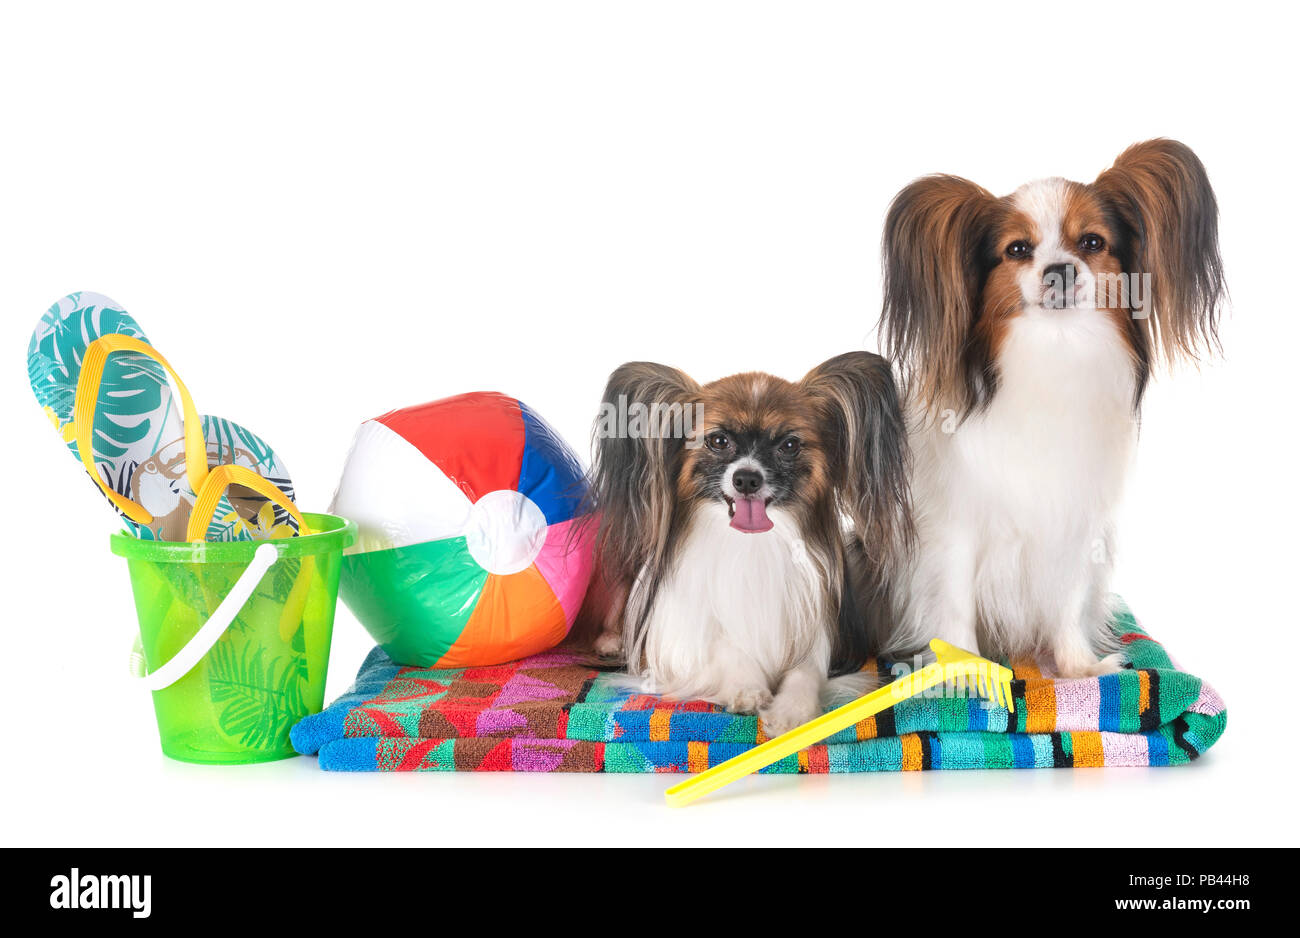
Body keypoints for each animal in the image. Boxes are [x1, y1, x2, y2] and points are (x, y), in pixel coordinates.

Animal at [574, 350, 909, 732]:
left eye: (789, 445)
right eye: (718, 441)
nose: (747, 478)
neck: (751, 545)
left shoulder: (815, 637)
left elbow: (806, 673)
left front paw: (791, 712)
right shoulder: (682, 645)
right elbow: (728, 649)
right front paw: (746, 689)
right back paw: (611, 642)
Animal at [878, 139, 1222, 670]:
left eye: (1093, 243)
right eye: (1018, 249)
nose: (1059, 270)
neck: (1056, 349)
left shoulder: (1076, 523)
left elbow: (1068, 602)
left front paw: (1079, 667)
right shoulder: (953, 528)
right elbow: (955, 605)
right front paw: (967, 672)